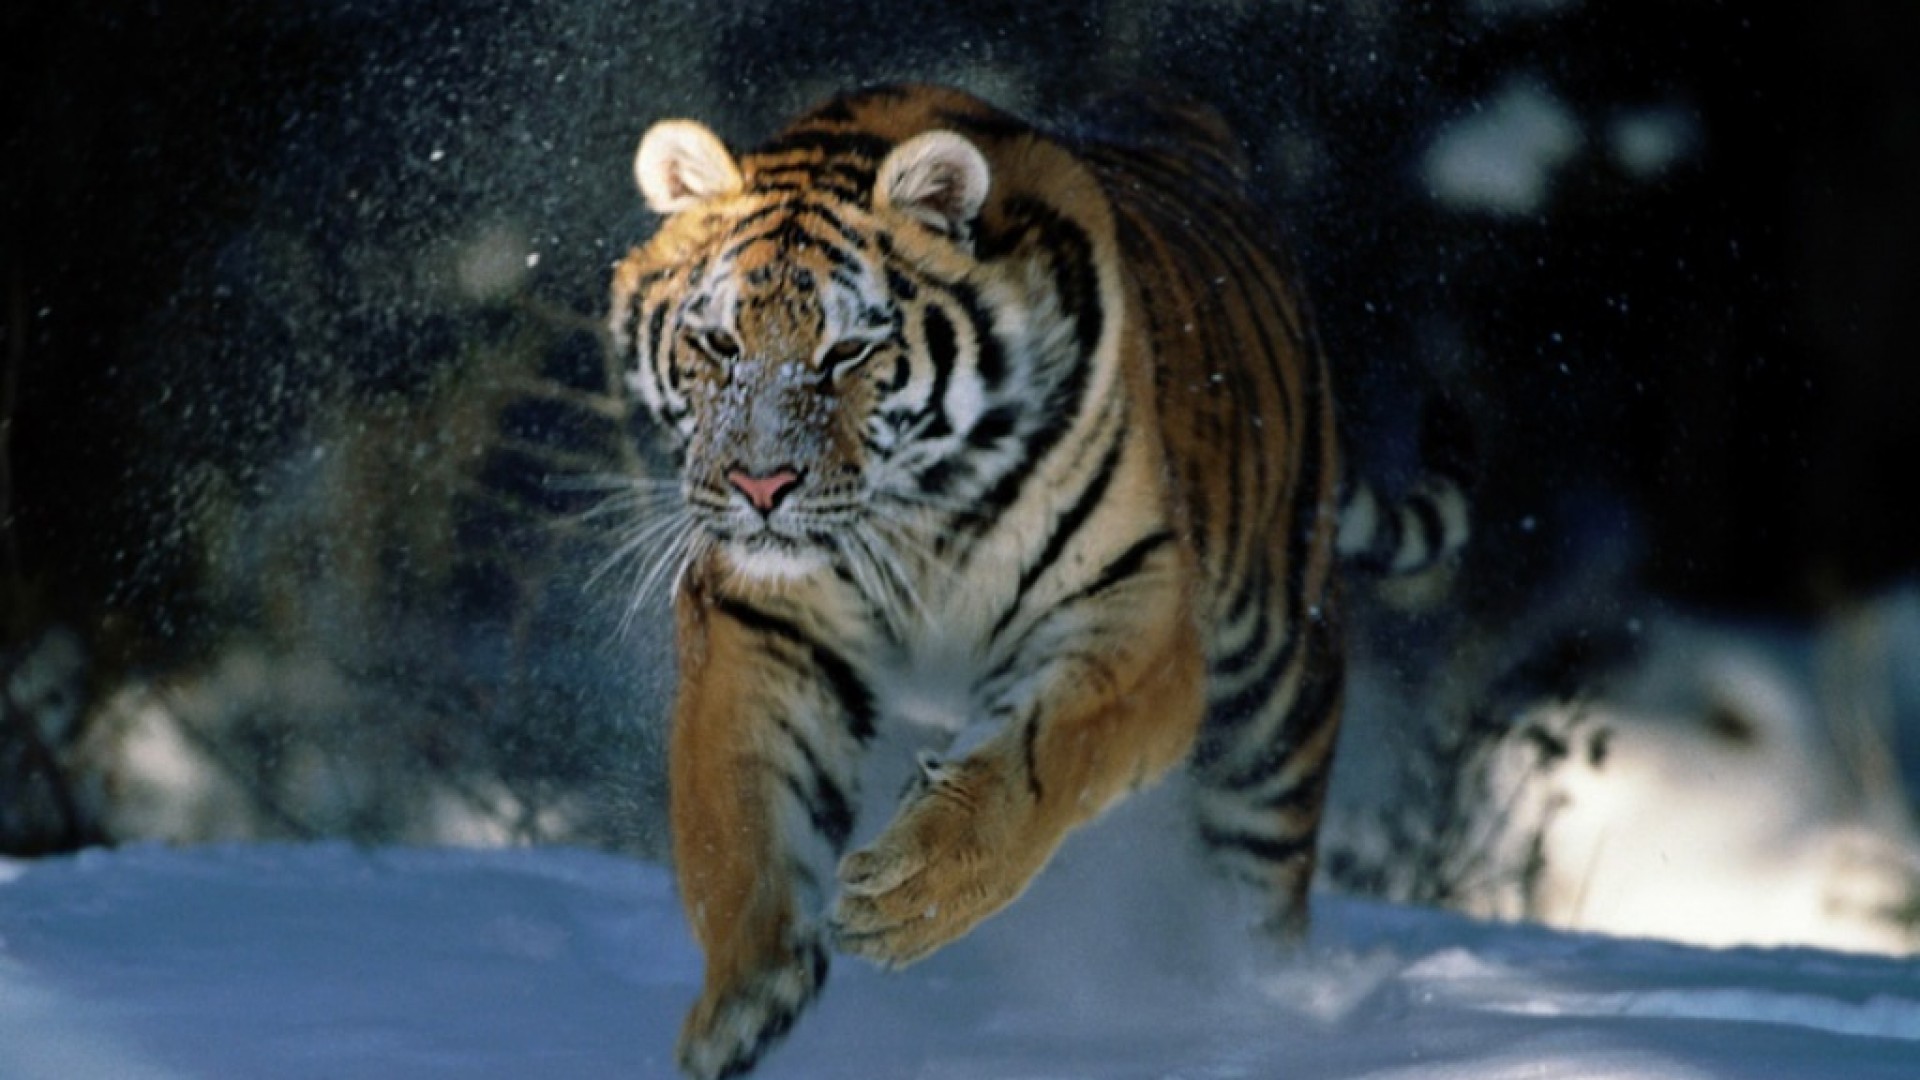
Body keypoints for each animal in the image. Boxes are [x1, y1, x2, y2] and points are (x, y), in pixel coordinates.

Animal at [606, 84, 1467, 1079]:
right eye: (717, 342)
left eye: (847, 352)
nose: (760, 487)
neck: (919, 511)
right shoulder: (764, 621)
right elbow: (739, 807)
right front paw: (745, 996)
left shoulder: (1134, 609)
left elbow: (1041, 757)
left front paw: (913, 894)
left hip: (1276, 712)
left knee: (1260, 896)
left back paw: (1262, 1013)